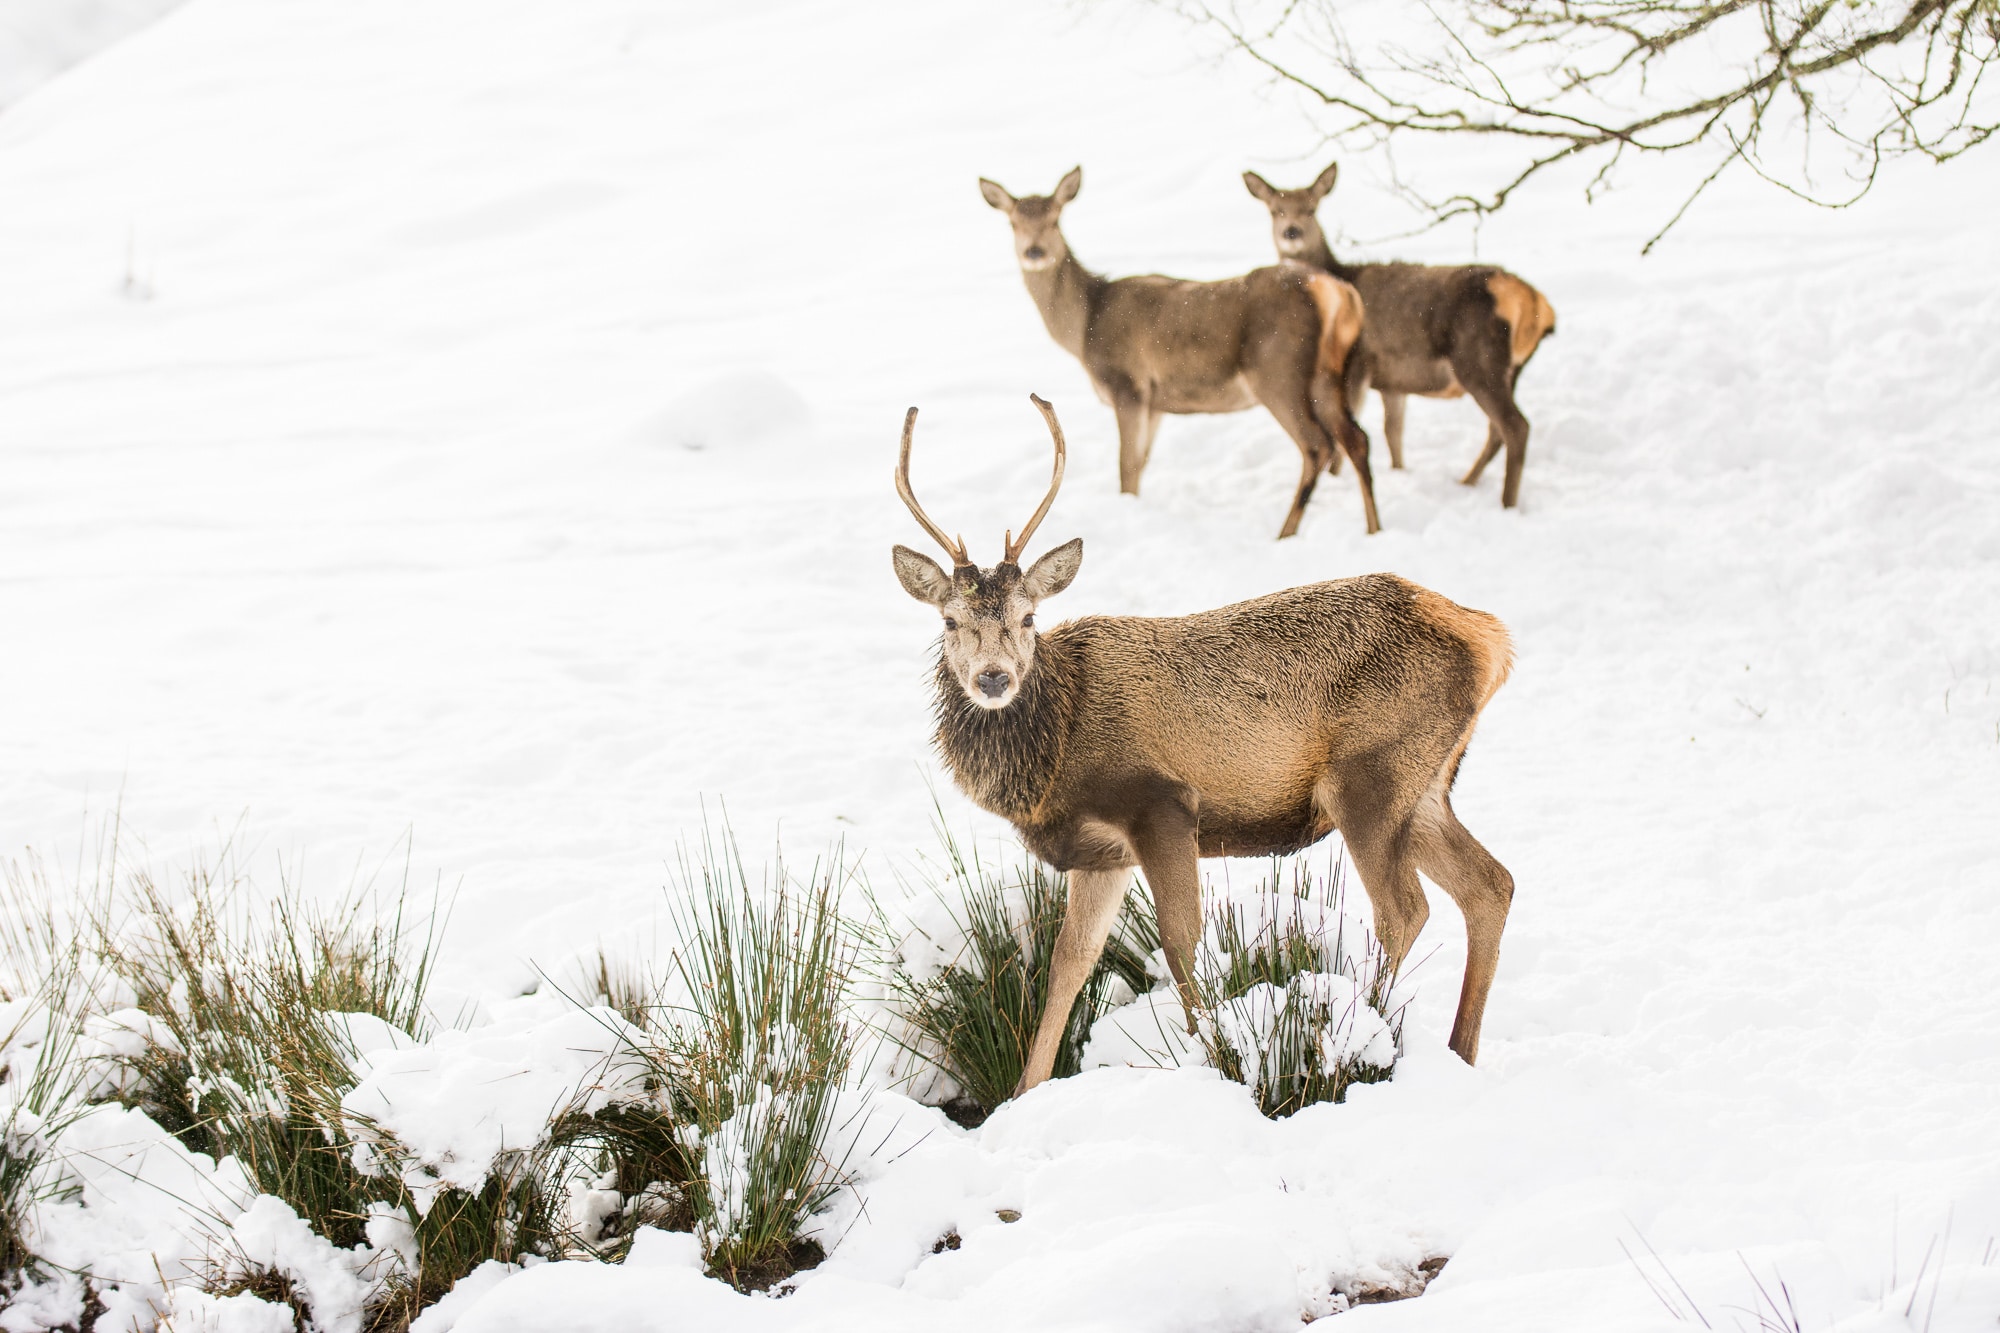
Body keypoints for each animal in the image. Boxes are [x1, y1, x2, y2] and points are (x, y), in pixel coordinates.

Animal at [892, 392, 1512, 1088]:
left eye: (1028, 618)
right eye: (950, 621)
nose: (994, 677)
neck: (1056, 756)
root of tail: (1490, 639)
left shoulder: (1160, 802)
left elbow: (1182, 944)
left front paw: (1209, 1057)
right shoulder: (1102, 854)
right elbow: (1069, 964)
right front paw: (1026, 1094)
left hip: (1370, 778)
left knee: (1405, 910)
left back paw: (1360, 1042)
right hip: (1425, 787)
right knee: (1492, 885)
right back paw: (1460, 1051)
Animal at [980, 165, 1384, 536]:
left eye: (1054, 219)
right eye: (1013, 223)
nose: (1034, 251)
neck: (1085, 326)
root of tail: (1338, 293)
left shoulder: (1128, 385)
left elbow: (1126, 469)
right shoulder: (1156, 402)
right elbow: (1141, 464)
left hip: (1278, 371)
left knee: (1318, 445)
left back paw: (1284, 533)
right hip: (1327, 375)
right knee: (1356, 438)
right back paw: (1373, 527)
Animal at [1240, 157, 1552, 508]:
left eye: (1311, 208)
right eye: (1274, 210)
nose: (1291, 231)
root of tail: (1536, 303)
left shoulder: (1357, 362)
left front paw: (1336, 480)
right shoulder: (1391, 382)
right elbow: (1394, 433)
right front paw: (1400, 473)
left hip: (1478, 359)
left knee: (1515, 427)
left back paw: (1506, 503)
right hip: (1509, 370)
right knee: (1497, 430)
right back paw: (1467, 483)